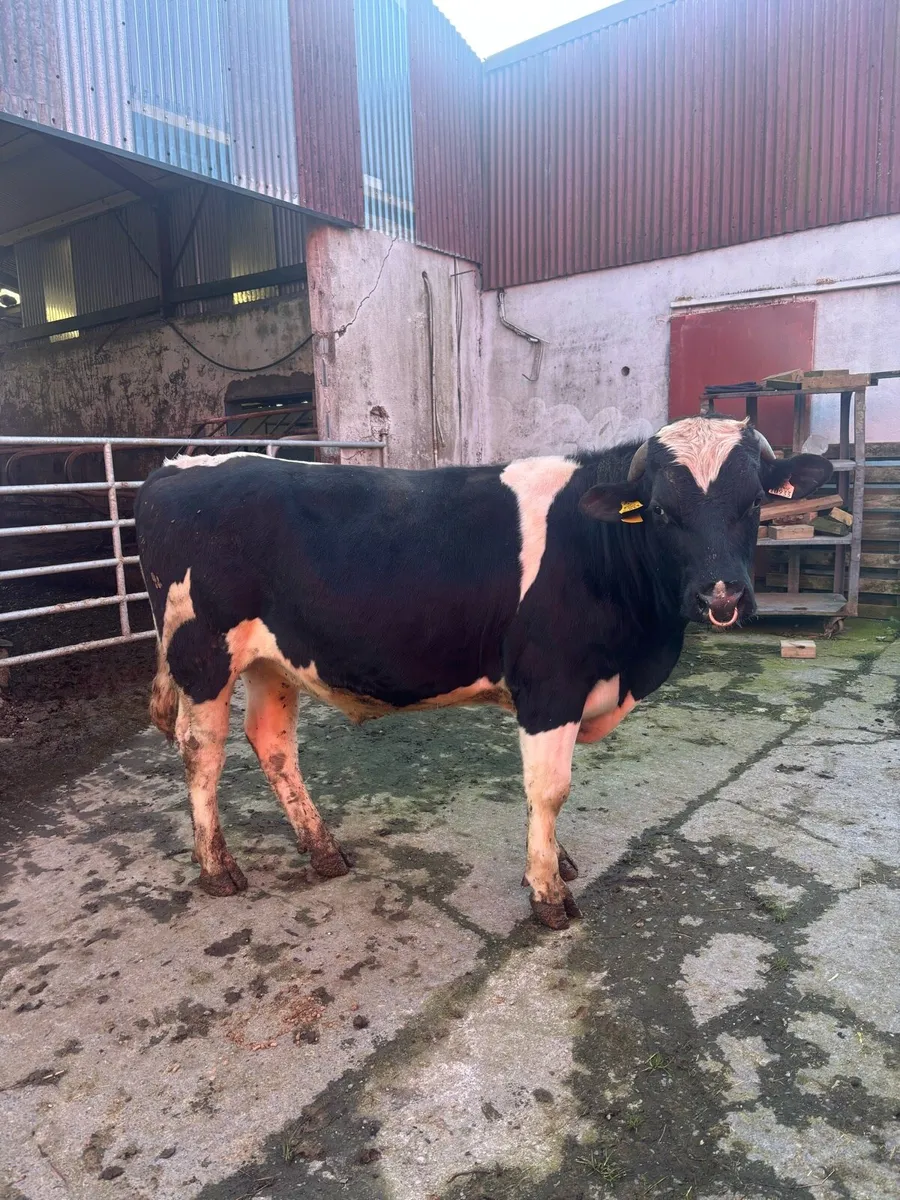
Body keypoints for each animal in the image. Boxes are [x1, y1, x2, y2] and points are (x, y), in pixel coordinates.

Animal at [134, 416, 832, 930]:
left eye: (754, 502)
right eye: (661, 511)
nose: (722, 594)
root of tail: (179, 468)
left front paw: (554, 862)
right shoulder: (550, 685)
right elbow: (549, 789)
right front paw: (547, 893)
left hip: (271, 659)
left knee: (273, 743)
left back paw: (324, 850)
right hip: (202, 652)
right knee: (202, 748)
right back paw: (217, 868)